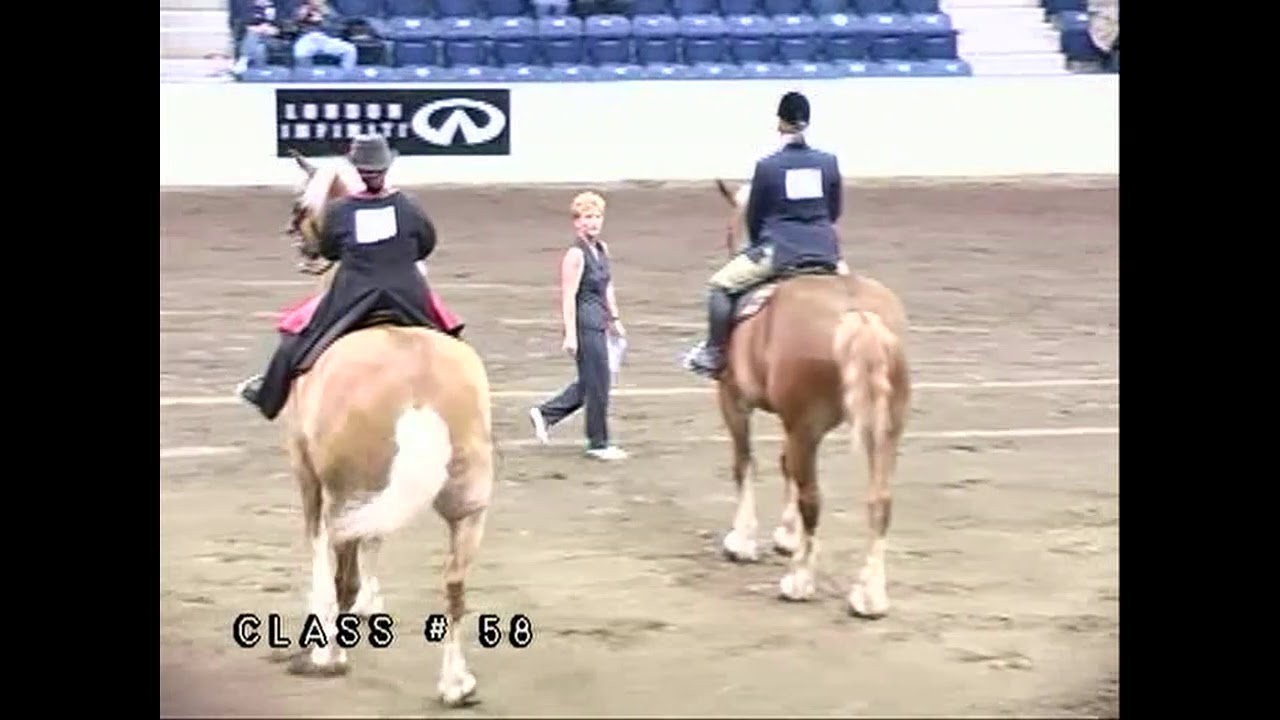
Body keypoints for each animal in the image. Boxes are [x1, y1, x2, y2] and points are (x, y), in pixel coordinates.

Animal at [265, 151, 495, 706]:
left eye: (302, 203)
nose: (301, 244)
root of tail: (419, 390)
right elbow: (375, 542)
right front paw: (373, 607)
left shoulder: (306, 471)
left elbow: (318, 550)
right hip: (467, 508)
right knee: (455, 585)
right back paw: (456, 685)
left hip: (345, 491)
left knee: (340, 564)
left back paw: (326, 657)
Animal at [707, 179, 912, 618]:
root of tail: (857, 314)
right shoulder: (791, 421)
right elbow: (785, 465)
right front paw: (787, 536)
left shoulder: (734, 400)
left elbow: (744, 463)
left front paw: (742, 541)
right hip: (885, 429)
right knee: (880, 501)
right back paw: (869, 596)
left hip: (807, 427)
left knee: (813, 498)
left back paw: (799, 582)